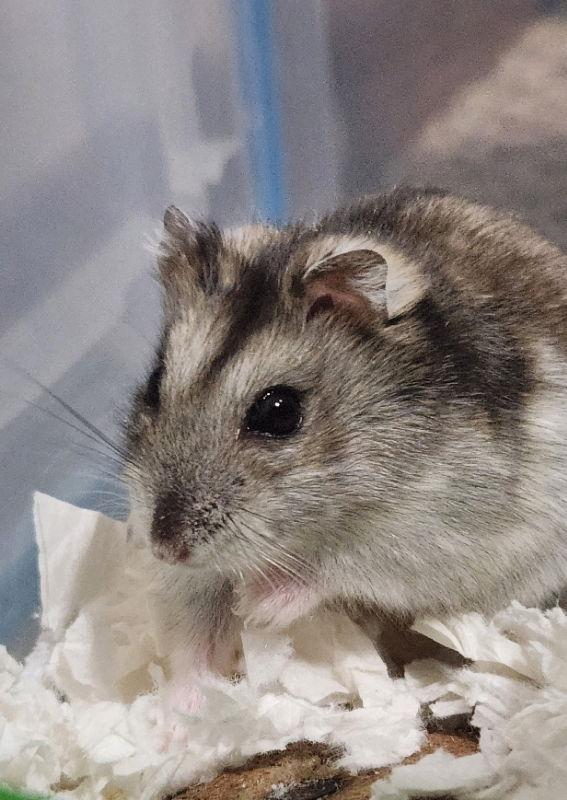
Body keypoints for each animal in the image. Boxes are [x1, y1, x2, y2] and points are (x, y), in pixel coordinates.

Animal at [125, 186, 567, 708]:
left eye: (279, 412)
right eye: (155, 383)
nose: (164, 548)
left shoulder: (437, 536)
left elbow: (336, 566)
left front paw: (257, 607)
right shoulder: (191, 579)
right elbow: (192, 633)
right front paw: (179, 713)